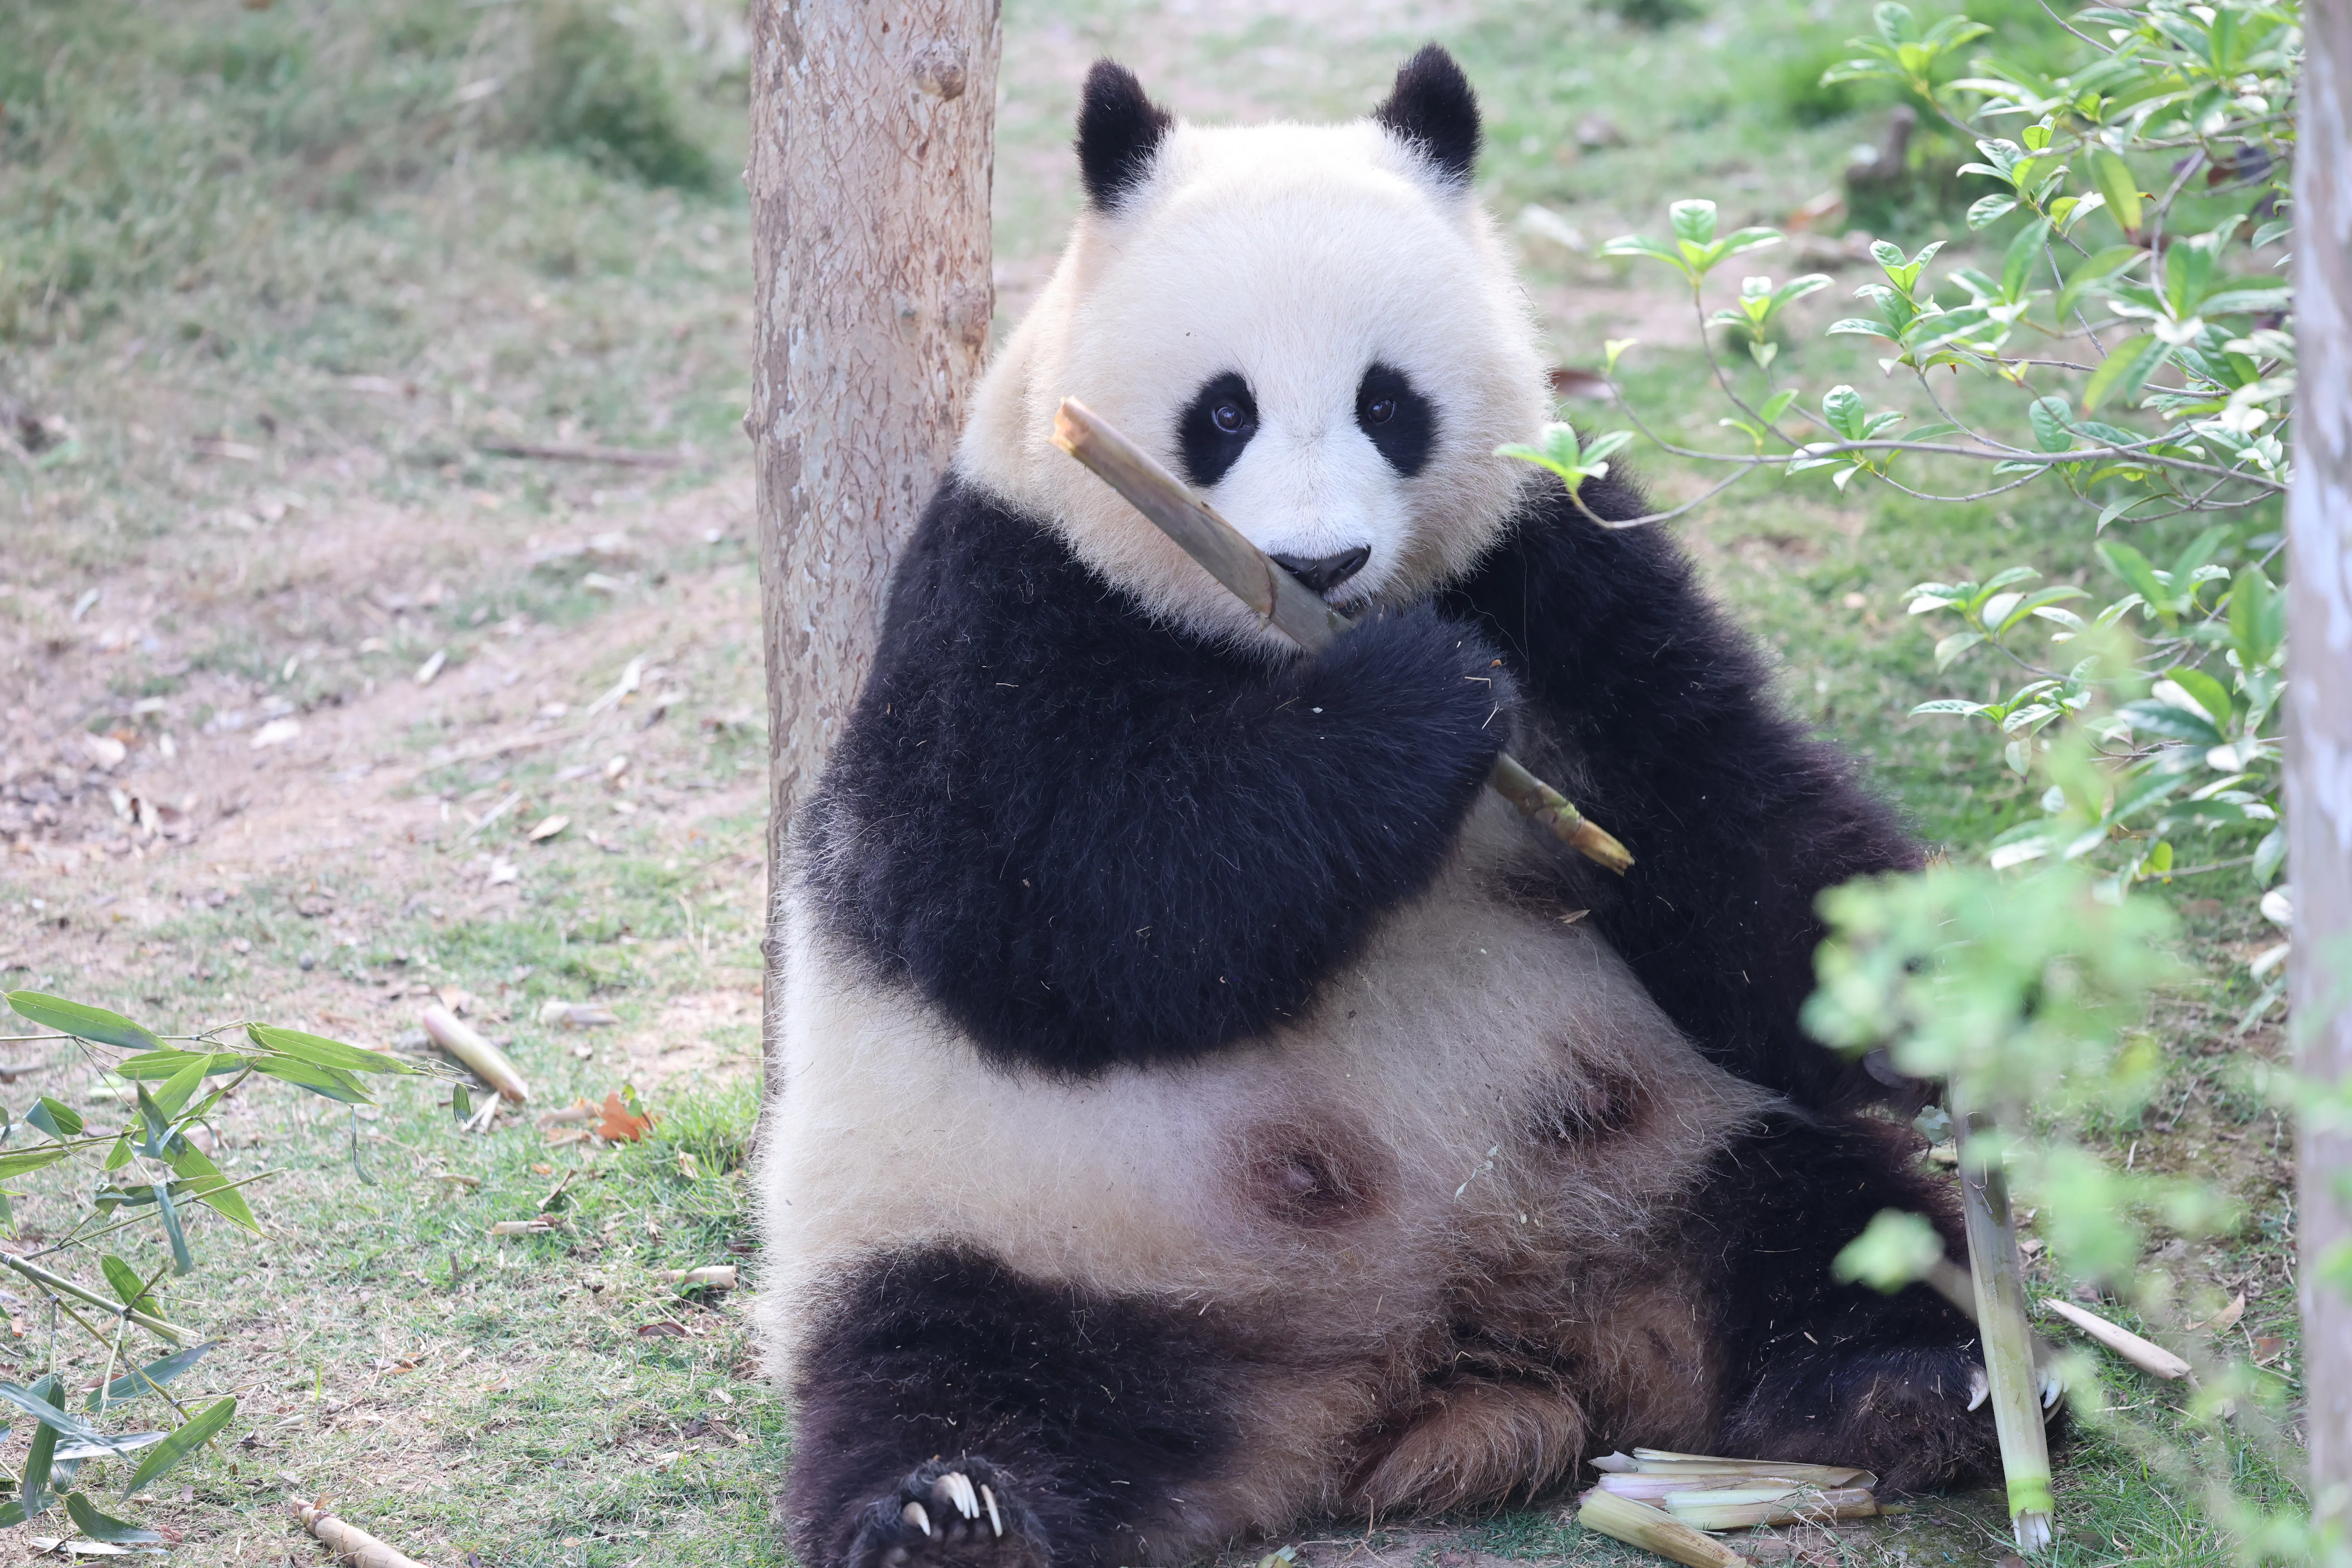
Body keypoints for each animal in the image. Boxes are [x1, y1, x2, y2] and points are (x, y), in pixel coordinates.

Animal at [756, 45, 2015, 1568]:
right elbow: (1052, 904)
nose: (1321, 560)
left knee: (1833, 1228)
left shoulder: (1555, 550)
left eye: (1387, 402)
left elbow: (1718, 800)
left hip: (1678, 1147)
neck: (1278, 644)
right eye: (1222, 412)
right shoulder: (1010, 592)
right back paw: (950, 1511)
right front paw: (1420, 702)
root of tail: (1443, 1352)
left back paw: (1928, 1382)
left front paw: (1932, 1010)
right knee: (947, 1365)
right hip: (1009, 1226)